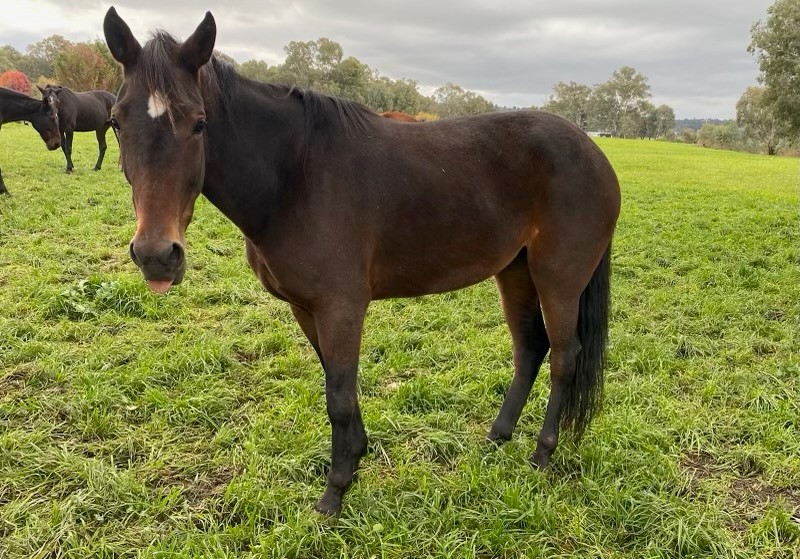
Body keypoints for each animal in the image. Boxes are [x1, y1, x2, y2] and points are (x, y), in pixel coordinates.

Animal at [103, 7, 621, 515]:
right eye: (116, 123)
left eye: (199, 123)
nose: (156, 256)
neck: (295, 175)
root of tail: (592, 151)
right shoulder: (306, 308)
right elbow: (339, 386)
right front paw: (354, 460)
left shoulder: (341, 308)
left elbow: (338, 396)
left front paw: (334, 492)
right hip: (514, 271)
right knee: (530, 348)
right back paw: (497, 437)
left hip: (558, 279)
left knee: (564, 356)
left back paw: (542, 453)